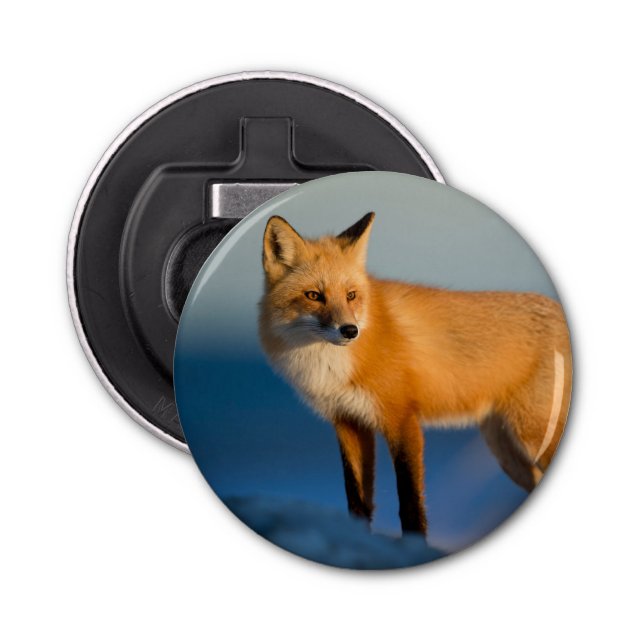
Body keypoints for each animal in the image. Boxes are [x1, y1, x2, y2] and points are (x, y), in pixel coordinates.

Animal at [259, 212, 572, 535]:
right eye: (314, 295)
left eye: (351, 295)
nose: (350, 331)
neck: (332, 366)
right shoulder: (348, 422)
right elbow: (357, 500)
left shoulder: (402, 418)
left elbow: (410, 502)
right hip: (507, 451)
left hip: (533, 436)